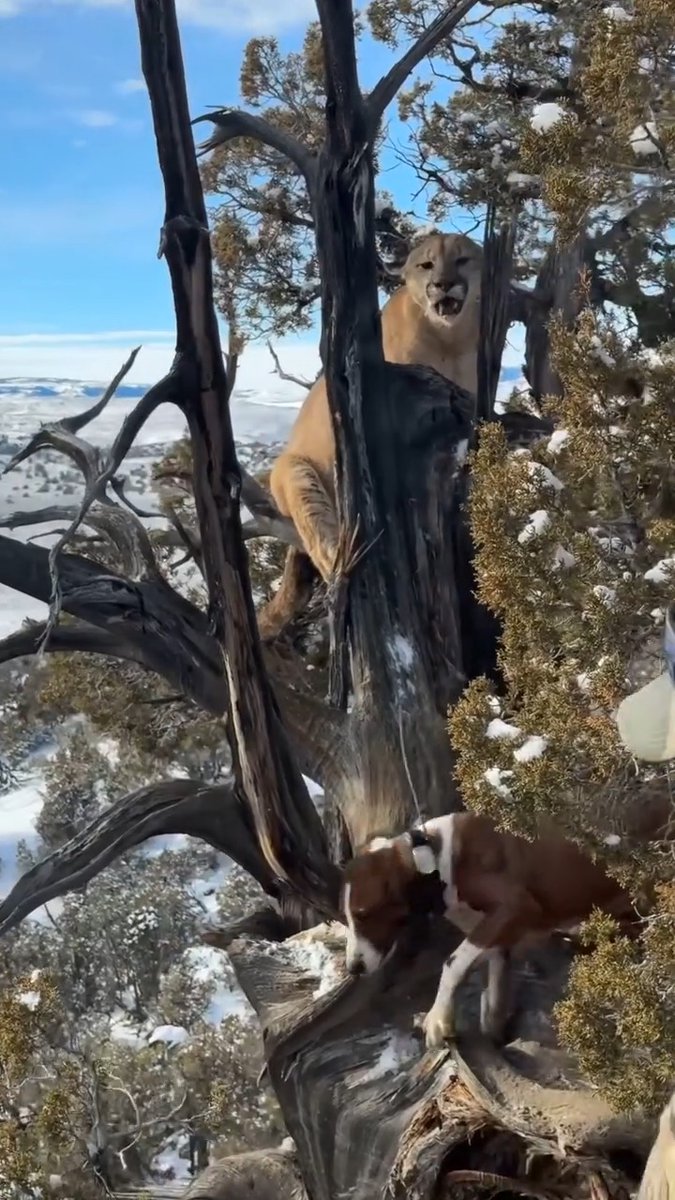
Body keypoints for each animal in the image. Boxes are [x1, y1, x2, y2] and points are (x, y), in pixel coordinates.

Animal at [261, 232, 482, 636]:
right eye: (426, 264)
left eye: (462, 260)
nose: (443, 284)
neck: (451, 340)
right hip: (297, 475)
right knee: (323, 543)